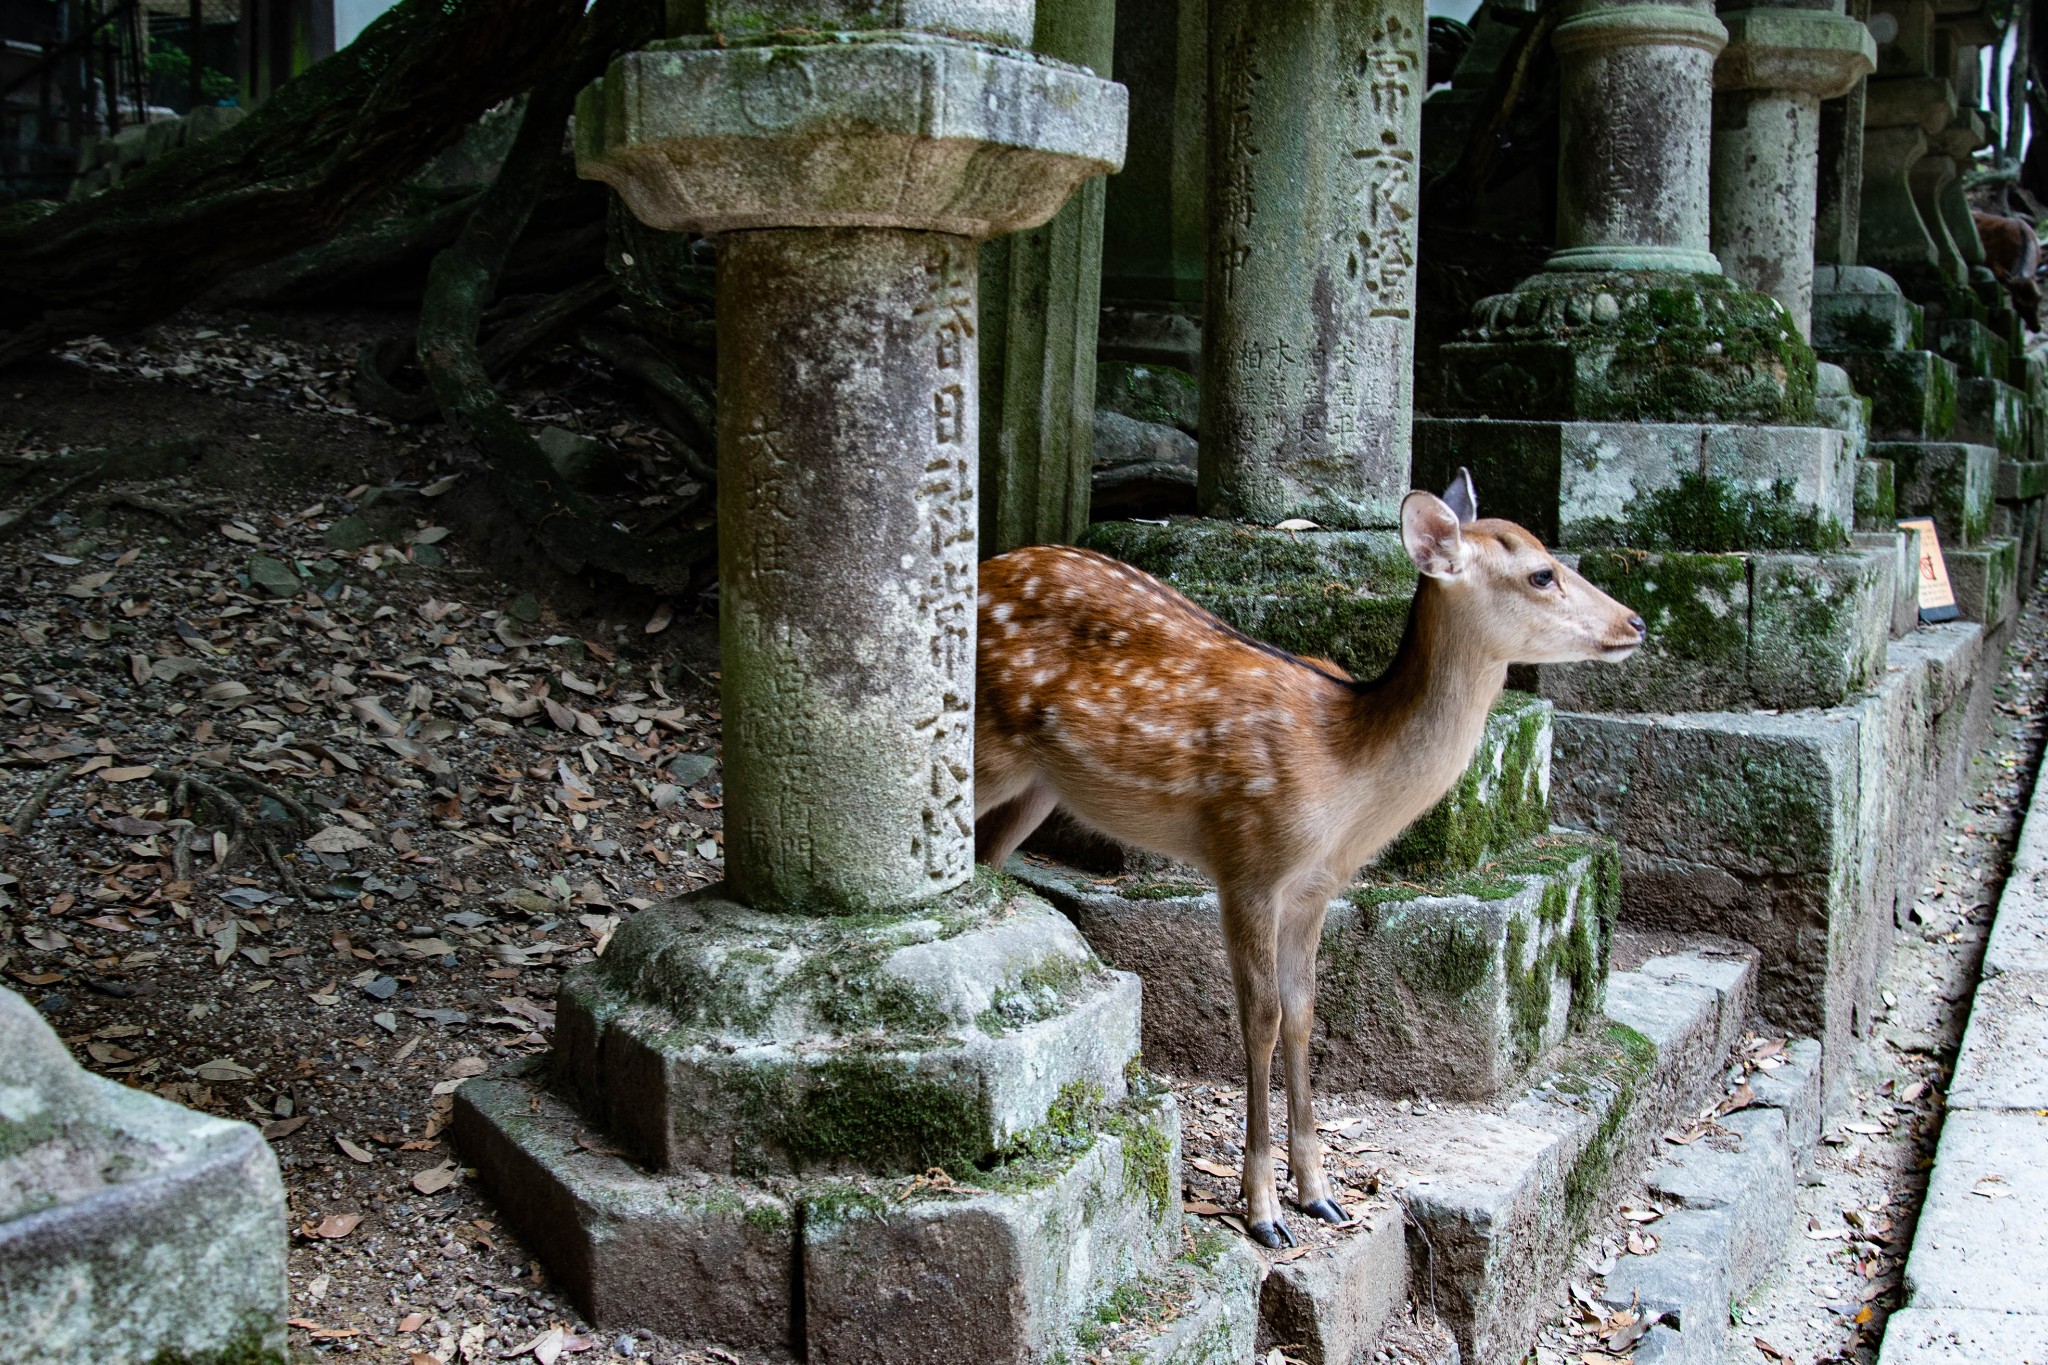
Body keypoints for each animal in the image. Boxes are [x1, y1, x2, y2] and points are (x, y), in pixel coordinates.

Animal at [974, 472, 1646, 1252]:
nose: (1636, 623)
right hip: (985, 754)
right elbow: (1261, 1016)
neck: (1343, 780)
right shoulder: (1246, 859)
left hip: (1038, 784)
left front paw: (1320, 1193)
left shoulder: (1316, 887)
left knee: (989, 858)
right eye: (1541, 573)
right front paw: (1263, 1210)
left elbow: (1302, 1013)